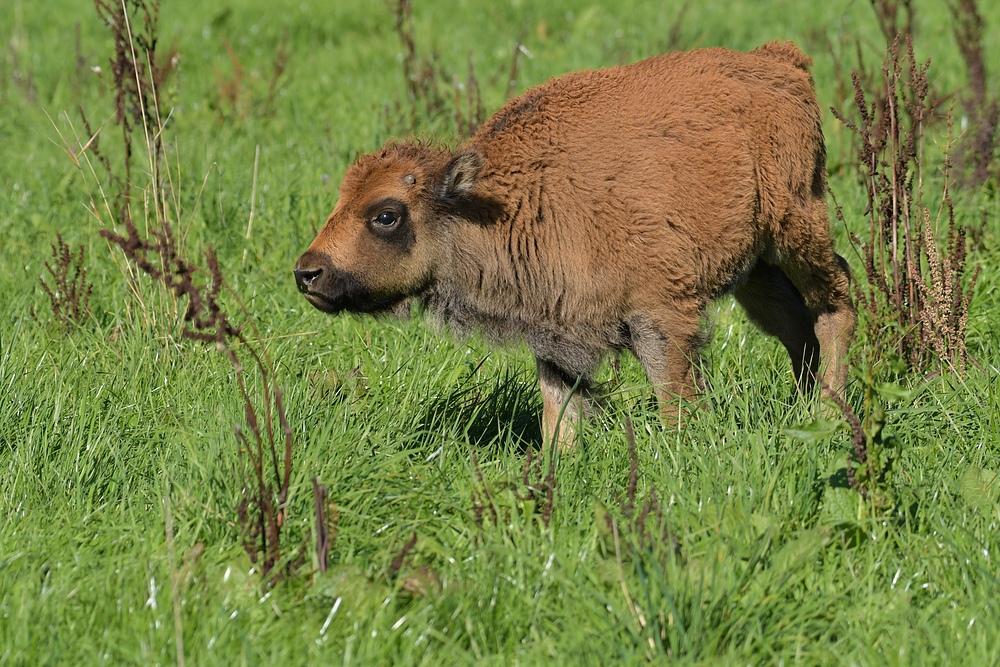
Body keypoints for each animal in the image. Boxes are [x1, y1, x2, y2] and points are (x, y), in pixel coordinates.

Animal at [292, 43, 856, 448]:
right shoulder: (556, 338)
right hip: (755, 268)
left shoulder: (662, 316)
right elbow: (557, 420)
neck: (502, 203)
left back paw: (827, 410)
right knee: (794, 323)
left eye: (386, 215)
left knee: (836, 300)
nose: (307, 273)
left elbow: (674, 399)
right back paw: (803, 407)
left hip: (797, 227)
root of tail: (778, 61)